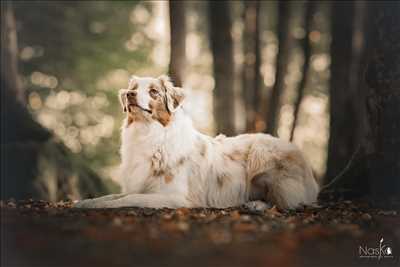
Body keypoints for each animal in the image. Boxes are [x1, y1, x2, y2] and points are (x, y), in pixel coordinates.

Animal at [75, 76, 318, 211]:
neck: (149, 135)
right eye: (134, 87)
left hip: (262, 153)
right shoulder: (139, 183)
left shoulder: (175, 196)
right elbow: (113, 196)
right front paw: (84, 202)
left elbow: (127, 199)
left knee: (288, 202)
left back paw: (256, 204)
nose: (130, 94)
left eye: (153, 91)